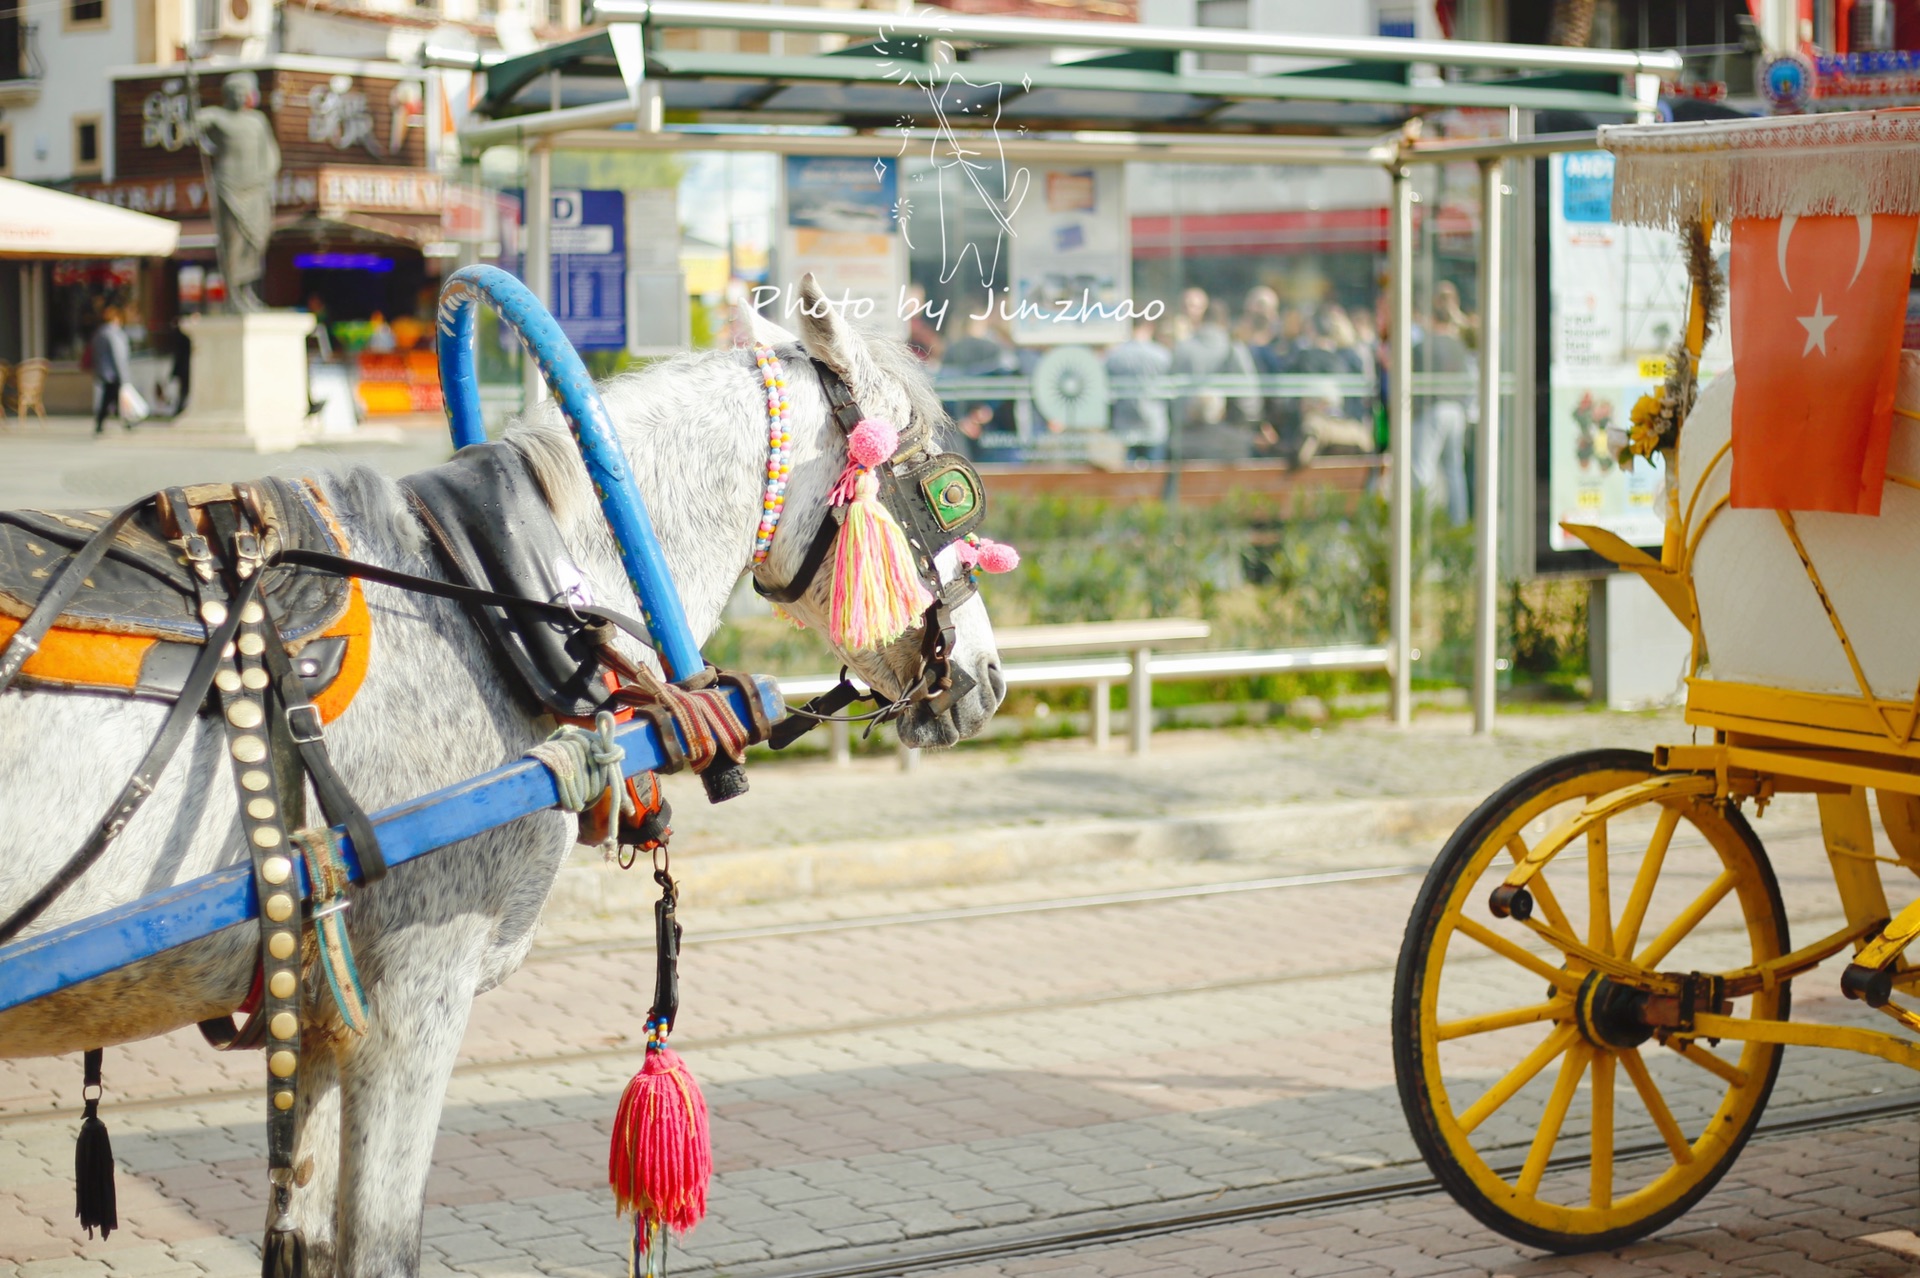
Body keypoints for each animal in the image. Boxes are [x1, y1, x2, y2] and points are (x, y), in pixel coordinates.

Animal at [0, 282, 1006, 1274]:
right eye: (948, 489)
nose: (989, 677)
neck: (495, 595)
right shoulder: (413, 988)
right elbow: (378, 1243)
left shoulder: (320, 1005)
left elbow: (305, 1241)